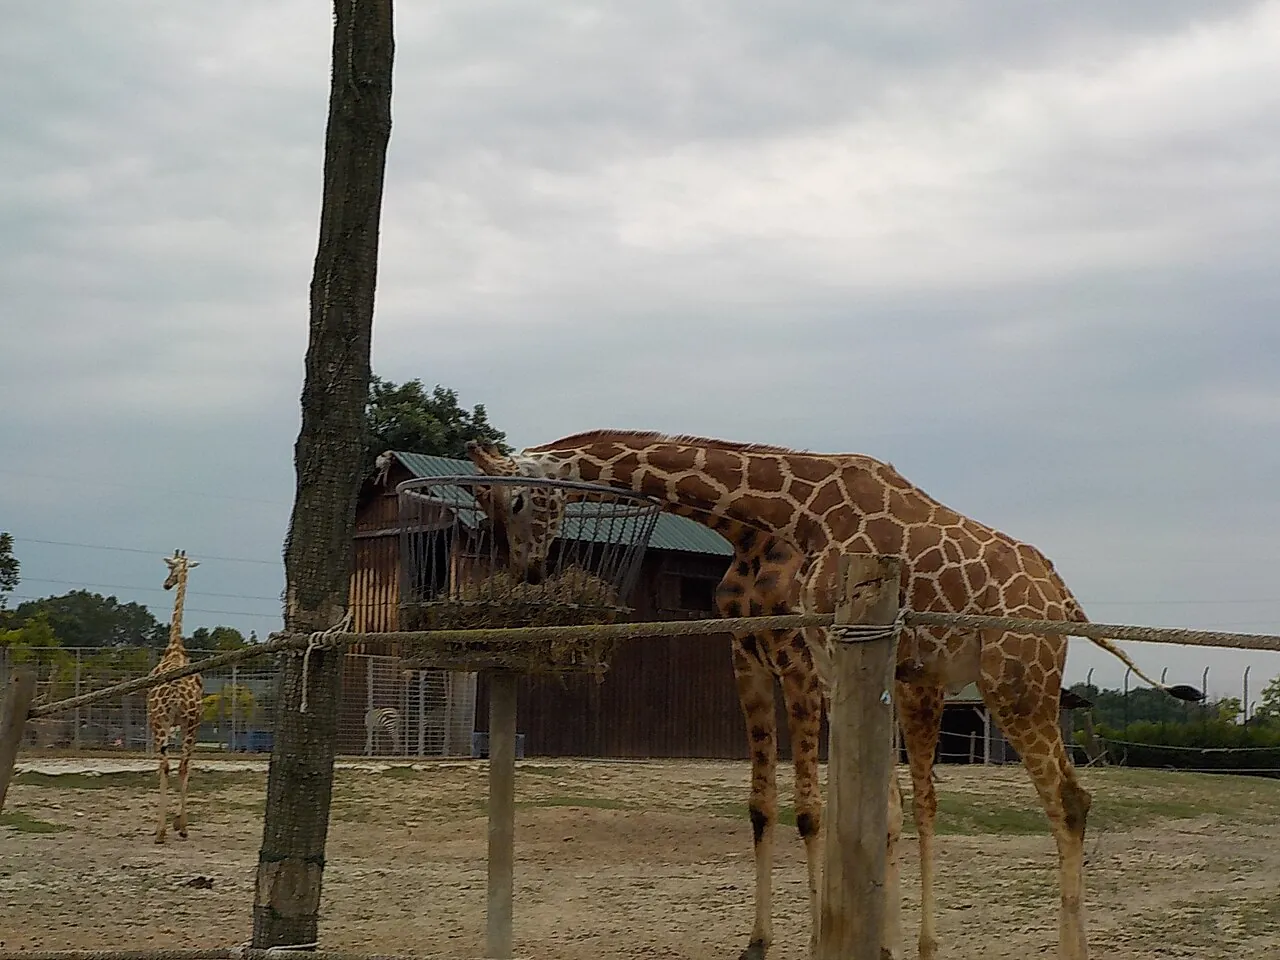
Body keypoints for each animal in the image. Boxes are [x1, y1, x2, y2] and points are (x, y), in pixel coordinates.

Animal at [465, 433, 1200, 960]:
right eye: (487, 509)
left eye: (517, 502)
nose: (526, 572)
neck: (794, 509)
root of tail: (1064, 599)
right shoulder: (807, 656)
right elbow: (855, 809)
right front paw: (860, 941)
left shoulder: (817, 654)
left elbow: (821, 810)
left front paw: (829, 937)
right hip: (950, 681)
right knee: (943, 803)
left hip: (1017, 680)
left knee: (1069, 802)